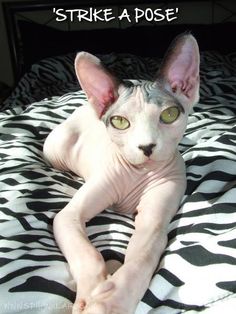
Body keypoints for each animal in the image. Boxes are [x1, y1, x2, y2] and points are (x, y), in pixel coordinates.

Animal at [43, 33, 199, 312]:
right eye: (120, 122)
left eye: (169, 115)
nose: (146, 147)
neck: (138, 173)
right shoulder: (68, 216)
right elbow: (88, 253)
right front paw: (92, 293)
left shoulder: (153, 224)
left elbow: (141, 260)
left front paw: (110, 302)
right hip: (55, 149)